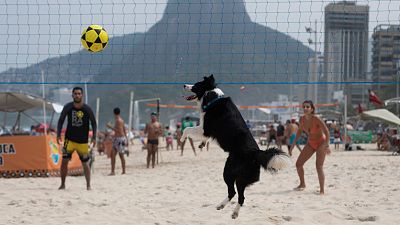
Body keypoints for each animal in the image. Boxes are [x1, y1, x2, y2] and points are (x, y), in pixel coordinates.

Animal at [182, 74, 290, 219]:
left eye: (196, 85)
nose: (184, 85)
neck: (212, 97)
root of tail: (256, 153)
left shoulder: (205, 129)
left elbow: (187, 129)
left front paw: (182, 138)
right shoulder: (206, 131)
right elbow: (203, 138)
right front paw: (202, 144)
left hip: (232, 174)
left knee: (238, 195)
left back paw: (233, 212)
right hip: (236, 175)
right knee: (235, 194)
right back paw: (222, 206)